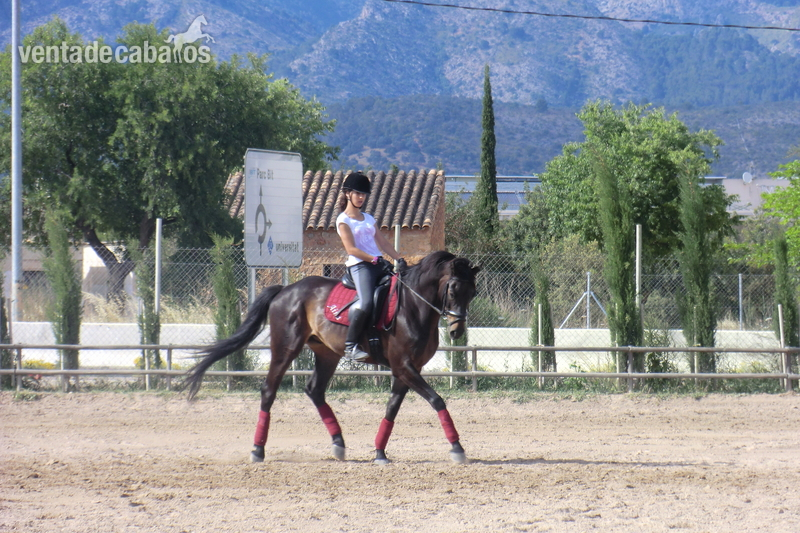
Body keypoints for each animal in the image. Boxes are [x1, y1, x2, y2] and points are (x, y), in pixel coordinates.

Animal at [184, 250, 480, 464]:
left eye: (473, 293)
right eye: (453, 289)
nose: (457, 331)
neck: (414, 306)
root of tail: (286, 290)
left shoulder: (406, 369)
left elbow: (392, 408)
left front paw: (379, 453)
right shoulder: (404, 366)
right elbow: (437, 400)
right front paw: (457, 448)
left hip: (326, 353)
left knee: (315, 390)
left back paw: (338, 444)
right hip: (285, 348)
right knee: (269, 390)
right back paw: (258, 450)